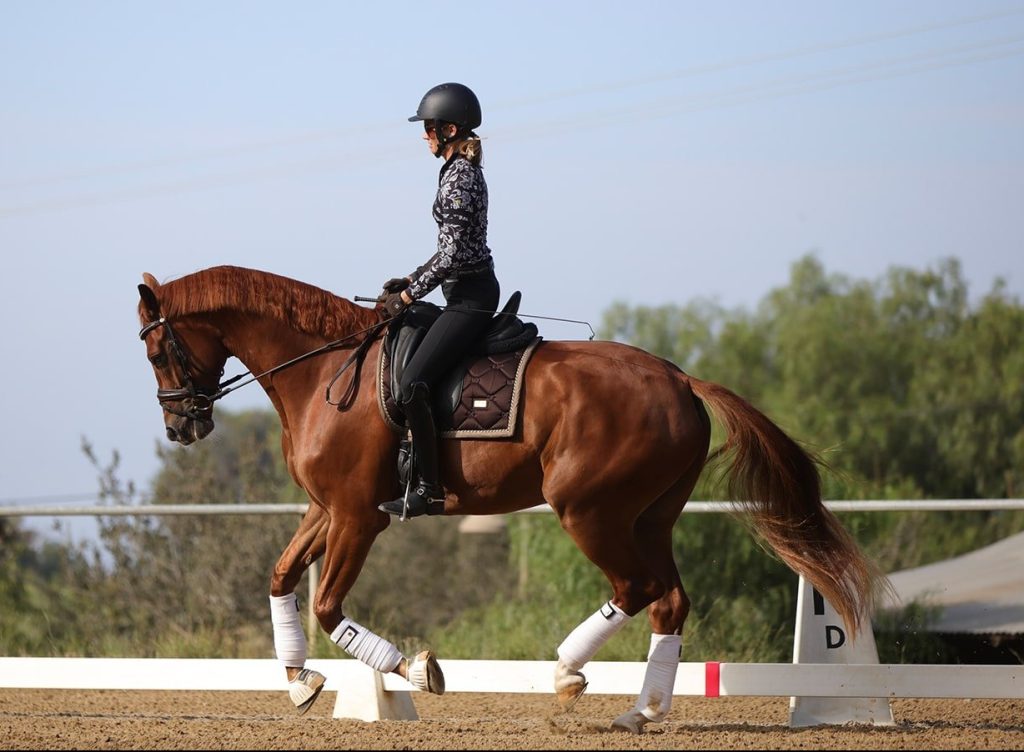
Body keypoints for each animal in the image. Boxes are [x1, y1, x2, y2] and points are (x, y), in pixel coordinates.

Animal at [136, 264, 883, 733]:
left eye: (157, 352)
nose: (180, 427)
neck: (323, 369)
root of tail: (678, 378)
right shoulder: (327, 510)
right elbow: (282, 575)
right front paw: (298, 682)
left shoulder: (356, 517)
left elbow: (326, 606)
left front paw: (417, 669)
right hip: (650, 517)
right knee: (669, 601)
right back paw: (639, 711)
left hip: (590, 511)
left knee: (635, 588)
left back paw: (566, 675)